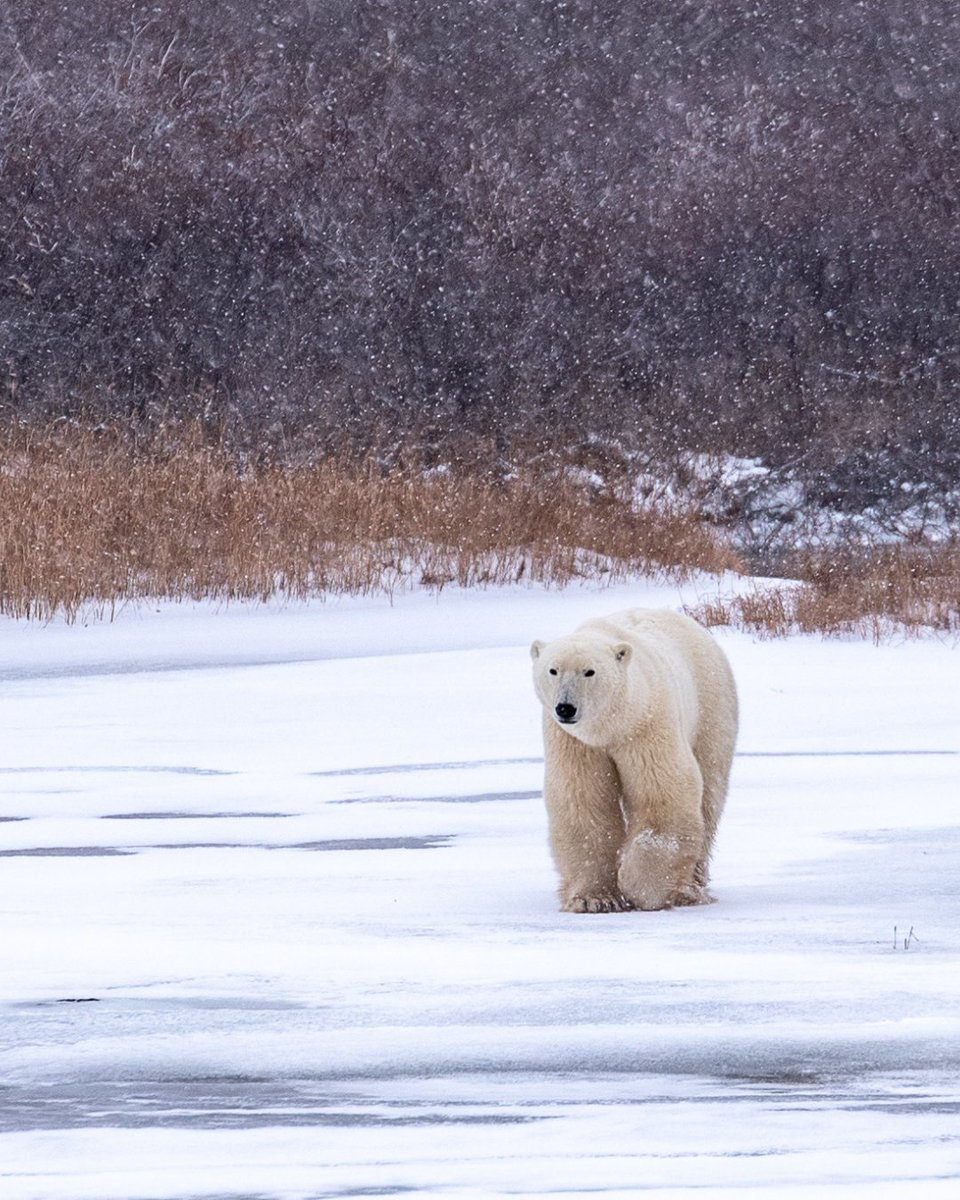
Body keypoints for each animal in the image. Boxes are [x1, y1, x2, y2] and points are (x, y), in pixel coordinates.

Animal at [530, 608, 738, 913]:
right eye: (553, 670)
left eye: (589, 671)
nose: (566, 708)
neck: (611, 727)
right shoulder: (575, 743)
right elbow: (584, 801)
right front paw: (595, 898)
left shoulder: (646, 725)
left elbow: (662, 794)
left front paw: (643, 886)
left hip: (711, 707)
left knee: (710, 791)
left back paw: (691, 889)